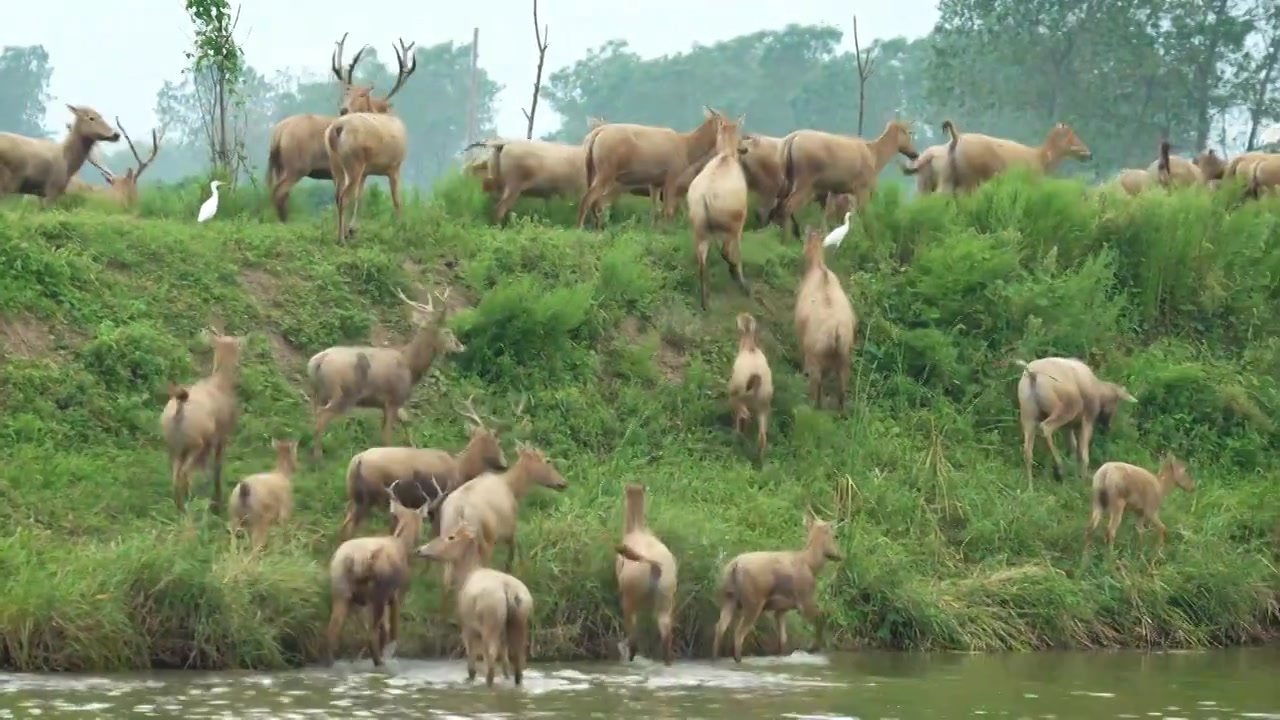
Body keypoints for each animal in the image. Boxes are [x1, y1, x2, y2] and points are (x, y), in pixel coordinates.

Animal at [264, 35, 409, 220]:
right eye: (347, 92)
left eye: (362, 95)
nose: (343, 109)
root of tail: (278, 132)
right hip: (296, 166)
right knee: (279, 191)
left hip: (279, 165)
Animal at [325, 36, 419, 242]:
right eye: (346, 92)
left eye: (361, 94)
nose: (343, 109)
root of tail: (337, 129)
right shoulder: (394, 166)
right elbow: (397, 200)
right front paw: (402, 228)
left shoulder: (366, 172)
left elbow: (361, 197)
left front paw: (353, 229)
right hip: (353, 162)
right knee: (344, 197)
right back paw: (341, 239)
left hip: (337, 164)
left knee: (338, 195)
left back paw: (341, 234)